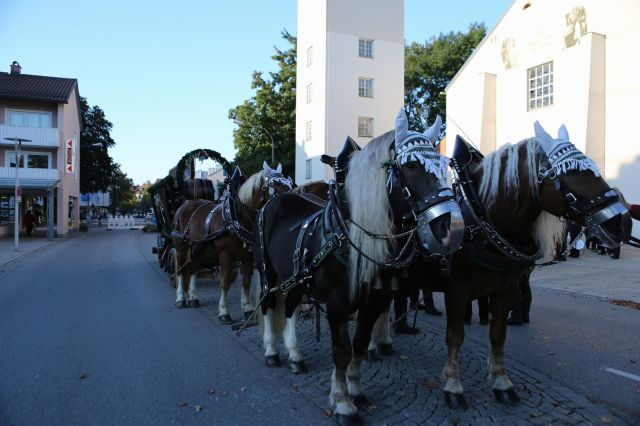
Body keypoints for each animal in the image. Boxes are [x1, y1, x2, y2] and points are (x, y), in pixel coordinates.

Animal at [171, 162, 292, 324]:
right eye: (275, 184)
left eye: (290, 183)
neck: (237, 217)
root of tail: (185, 205)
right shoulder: (226, 256)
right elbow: (225, 282)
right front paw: (224, 312)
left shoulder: (248, 257)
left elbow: (246, 282)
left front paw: (247, 309)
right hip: (181, 248)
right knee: (180, 270)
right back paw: (180, 299)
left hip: (198, 248)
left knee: (193, 270)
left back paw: (193, 298)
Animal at [254, 109, 464, 421]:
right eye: (411, 165)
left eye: (446, 165)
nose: (455, 230)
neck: (350, 235)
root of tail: (276, 201)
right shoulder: (337, 304)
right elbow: (341, 350)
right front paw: (342, 402)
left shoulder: (375, 300)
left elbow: (360, 344)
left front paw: (355, 390)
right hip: (268, 273)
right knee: (269, 304)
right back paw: (271, 351)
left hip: (296, 277)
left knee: (290, 306)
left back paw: (295, 356)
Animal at [364, 121, 632, 409]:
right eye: (571, 172)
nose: (623, 223)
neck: (480, 219)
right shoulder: (457, 293)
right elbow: (455, 337)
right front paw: (453, 387)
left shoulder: (506, 291)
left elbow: (498, 335)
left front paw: (502, 383)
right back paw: (371, 348)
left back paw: (383, 342)